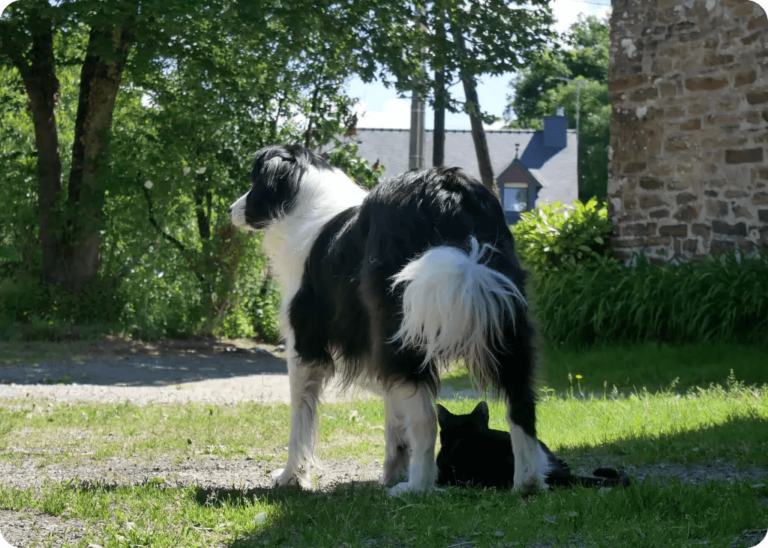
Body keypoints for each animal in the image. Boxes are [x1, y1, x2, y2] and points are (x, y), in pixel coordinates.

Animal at [225, 146, 548, 496]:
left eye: (255, 182)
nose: (230, 210)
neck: (301, 197)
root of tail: (446, 190)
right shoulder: (376, 351)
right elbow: (394, 415)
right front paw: (390, 473)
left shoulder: (305, 347)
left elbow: (300, 419)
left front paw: (289, 477)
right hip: (504, 319)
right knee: (521, 403)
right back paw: (527, 481)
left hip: (402, 325)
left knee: (426, 418)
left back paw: (417, 486)